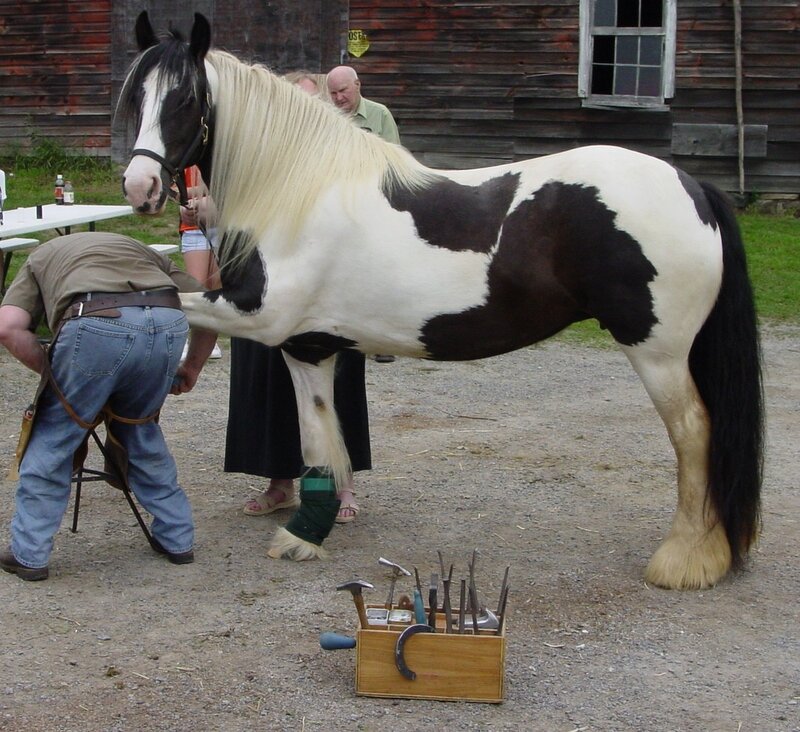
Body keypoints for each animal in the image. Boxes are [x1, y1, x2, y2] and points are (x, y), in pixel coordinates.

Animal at [119, 12, 763, 590]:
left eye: (185, 99)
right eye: (136, 98)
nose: (139, 188)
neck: (297, 189)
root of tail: (692, 186)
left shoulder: (258, 315)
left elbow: (170, 296)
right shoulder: (307, 346)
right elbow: (318, 441)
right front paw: (306, 535)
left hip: (658, 353)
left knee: (695, 435)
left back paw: (684, 560)